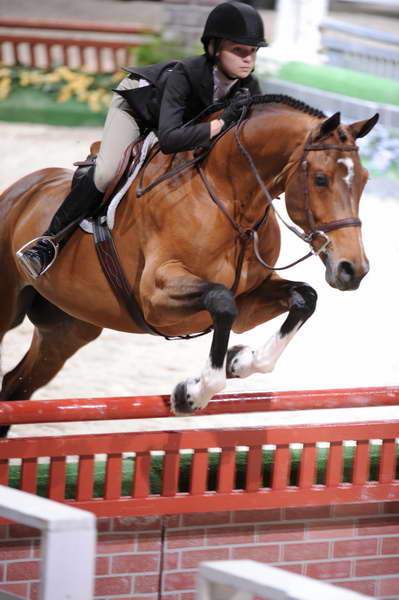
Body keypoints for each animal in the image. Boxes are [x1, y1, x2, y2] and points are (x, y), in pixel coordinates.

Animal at [0, 94, 378, 432]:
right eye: (320, 179)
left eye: (364, 180)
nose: (353, 270)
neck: (231, 200)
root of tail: (22, 189)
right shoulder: (156, 299)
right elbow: (221, 302)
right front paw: (192, 394)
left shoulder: (249, 300)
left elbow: (304, 298)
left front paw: (239, 360)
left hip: (68, 329)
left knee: (16, 385)